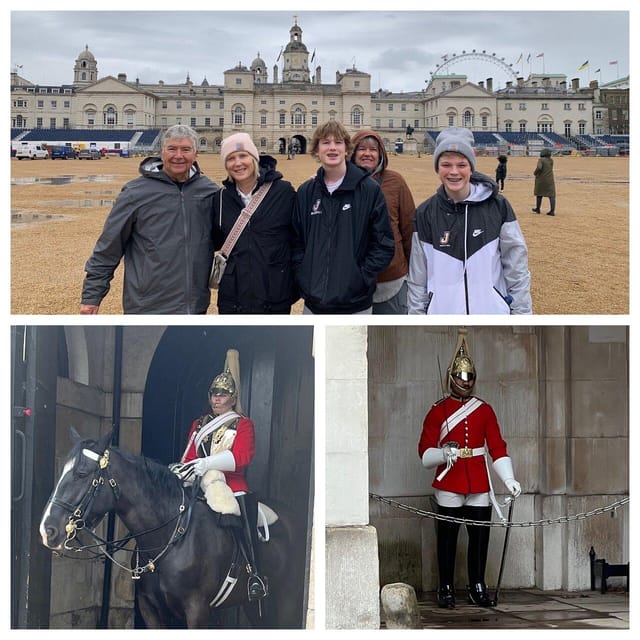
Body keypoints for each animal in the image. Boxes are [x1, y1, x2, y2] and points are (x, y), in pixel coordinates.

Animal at [40, 430, 300, 632]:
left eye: (82, 474)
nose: (47, 530)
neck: (171, 536)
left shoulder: (196, 610)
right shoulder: (150, 609)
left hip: (286, 597)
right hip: (253, 604)